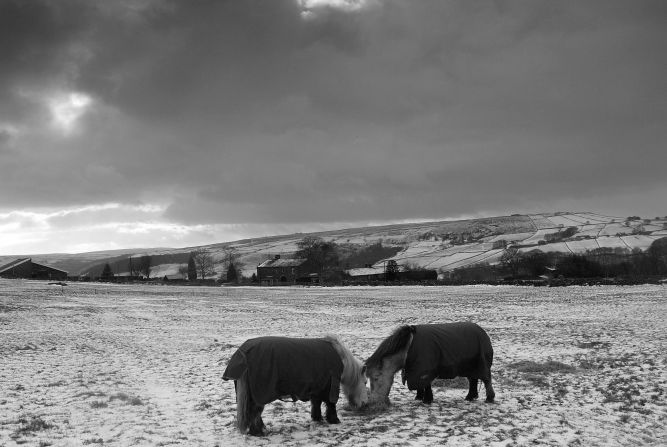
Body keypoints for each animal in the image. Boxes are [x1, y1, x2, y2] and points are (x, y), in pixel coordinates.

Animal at [224, 336, 370, 438]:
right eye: (365, 382)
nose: (364, 404)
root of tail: (243, 354)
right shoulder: (329, 387)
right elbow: (330, 405)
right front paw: (334, 420)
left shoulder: (318, 386)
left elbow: (316, 404)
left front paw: (317, 418)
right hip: (259, 393)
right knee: (255, 412)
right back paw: (258, 432)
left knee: (254, 413)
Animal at [366, 324, 496, 408]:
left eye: (376, 378)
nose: (373, 400)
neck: (408, 348)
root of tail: (483, 332)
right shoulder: (415, 369)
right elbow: (421, 386)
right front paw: (419, 397)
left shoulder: (425, 370)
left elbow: (426, 385)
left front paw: (427, 400)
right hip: (468, 367)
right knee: (473, 381)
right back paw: (470, 397)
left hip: (481, 366)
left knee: (486, 380)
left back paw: (489, 398)